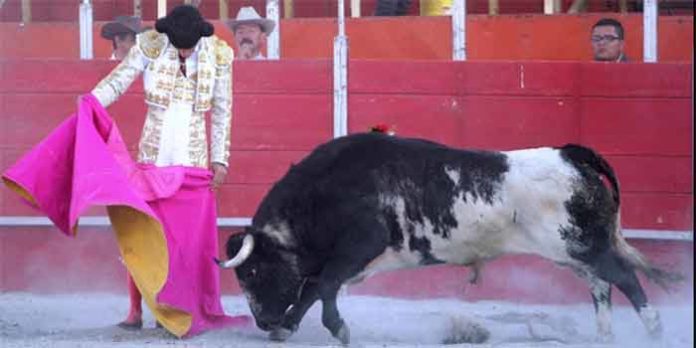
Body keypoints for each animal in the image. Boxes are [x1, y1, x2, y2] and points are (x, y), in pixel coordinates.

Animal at [216, 133, 680, 346]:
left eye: (253, 271)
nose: (263, 321)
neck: (323, 194)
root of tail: (570, 155)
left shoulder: (361, 245)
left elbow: (321, 285)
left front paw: (327, 328)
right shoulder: (346, 258)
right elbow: (317, 288)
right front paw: (300, 327)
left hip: (583, 246)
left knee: (623, 277)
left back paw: (655, 329)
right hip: (574, 253)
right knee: (601, 286)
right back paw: (604, 336)